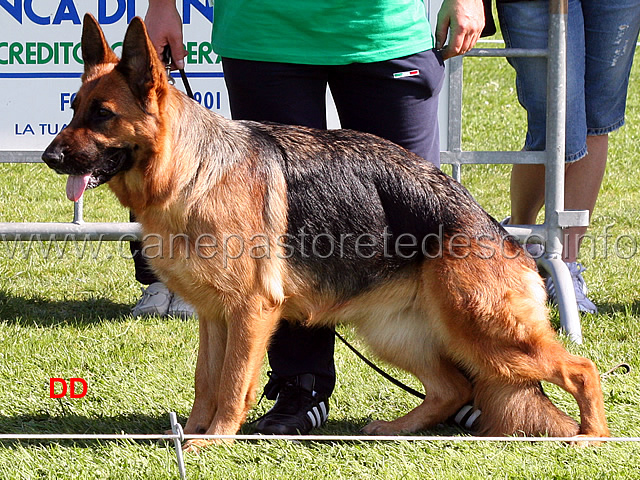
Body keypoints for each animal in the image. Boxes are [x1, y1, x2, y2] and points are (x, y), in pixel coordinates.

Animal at [42, 15, 608, 450]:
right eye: (73, 108)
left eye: (103, 115)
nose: (49, 157)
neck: (192, 169)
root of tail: (496, 228)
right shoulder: (213, 316)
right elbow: (206, 380)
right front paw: (191, 433)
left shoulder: (251, 312)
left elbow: (232, 383)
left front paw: (215, 439)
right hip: (398, 333)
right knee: (452, 388)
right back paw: (395, 428)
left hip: (485, 330)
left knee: (580, 368)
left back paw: (592, 437)